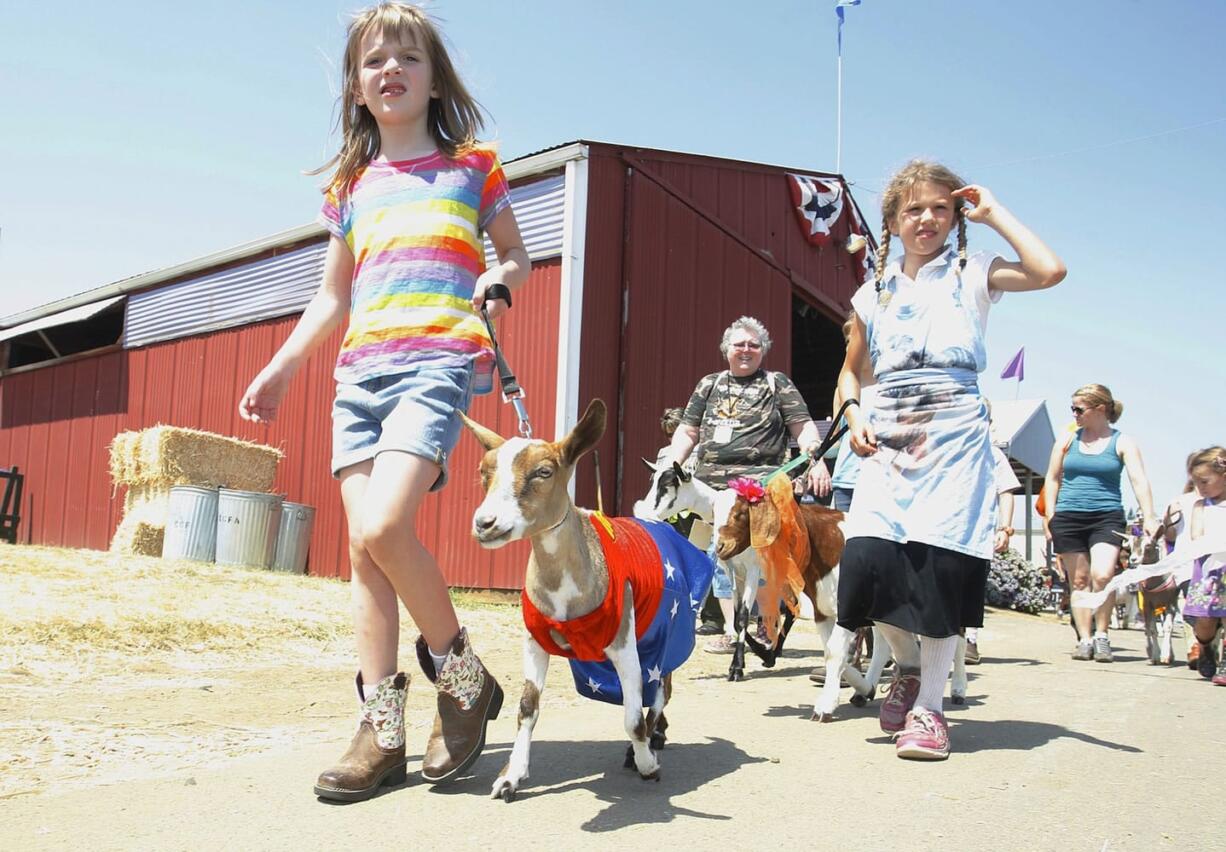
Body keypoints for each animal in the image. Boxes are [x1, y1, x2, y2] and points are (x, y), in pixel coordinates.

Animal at [460, 399, 701, 799]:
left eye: (544, 471)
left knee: (661, 690)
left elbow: (633, 718)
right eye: (483, 471)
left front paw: (647, 764)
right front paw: (511, 777)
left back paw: (651, 742)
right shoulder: (535, 639)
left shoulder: (624, 641)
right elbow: (527, 707)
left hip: (665, 632)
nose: (485, 524)